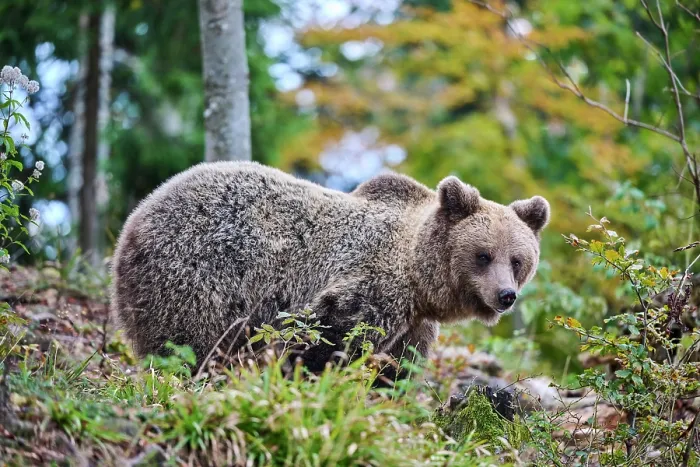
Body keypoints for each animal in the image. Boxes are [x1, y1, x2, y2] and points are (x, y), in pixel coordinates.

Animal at [111, 161, 549, 374]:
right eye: (483, 255)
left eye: (518, 260)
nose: (506, 295)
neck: (419, 282)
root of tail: (136, 217)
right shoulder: (369, 289)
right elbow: (325, 338)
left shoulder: (414, 325)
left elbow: (398, 367)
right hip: (200, 272)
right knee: (190, 341)